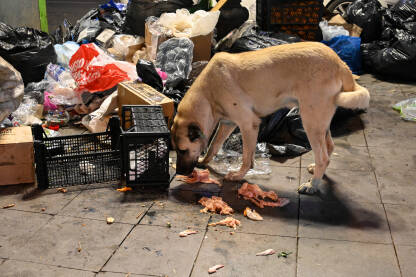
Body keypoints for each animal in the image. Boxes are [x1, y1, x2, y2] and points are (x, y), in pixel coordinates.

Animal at [171, 42, 368, 194]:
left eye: (182, 150)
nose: (179, 172)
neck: (207, 95)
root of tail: (340, 63)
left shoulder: (248, 124)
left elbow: (246, 157)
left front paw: (238, 175)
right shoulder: (227, 123)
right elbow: (213, 145)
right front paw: (204, 161)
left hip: (311, 122)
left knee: (324, 157)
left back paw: (312, 185)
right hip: (320, 121)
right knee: (329, 146)